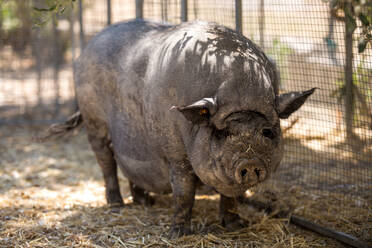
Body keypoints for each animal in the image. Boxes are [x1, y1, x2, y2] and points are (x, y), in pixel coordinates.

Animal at [45, 18, 314, 236]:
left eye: (267, 132)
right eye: (224, 132)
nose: (249, 163)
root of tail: (86, 49)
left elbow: (230, 197)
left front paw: (236, 227)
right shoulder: (174, 149)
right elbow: (184, 191)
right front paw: (179, 234)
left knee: (129, 167)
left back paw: (145, 203)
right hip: (93, 119)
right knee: (106, 162)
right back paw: (116, 205)